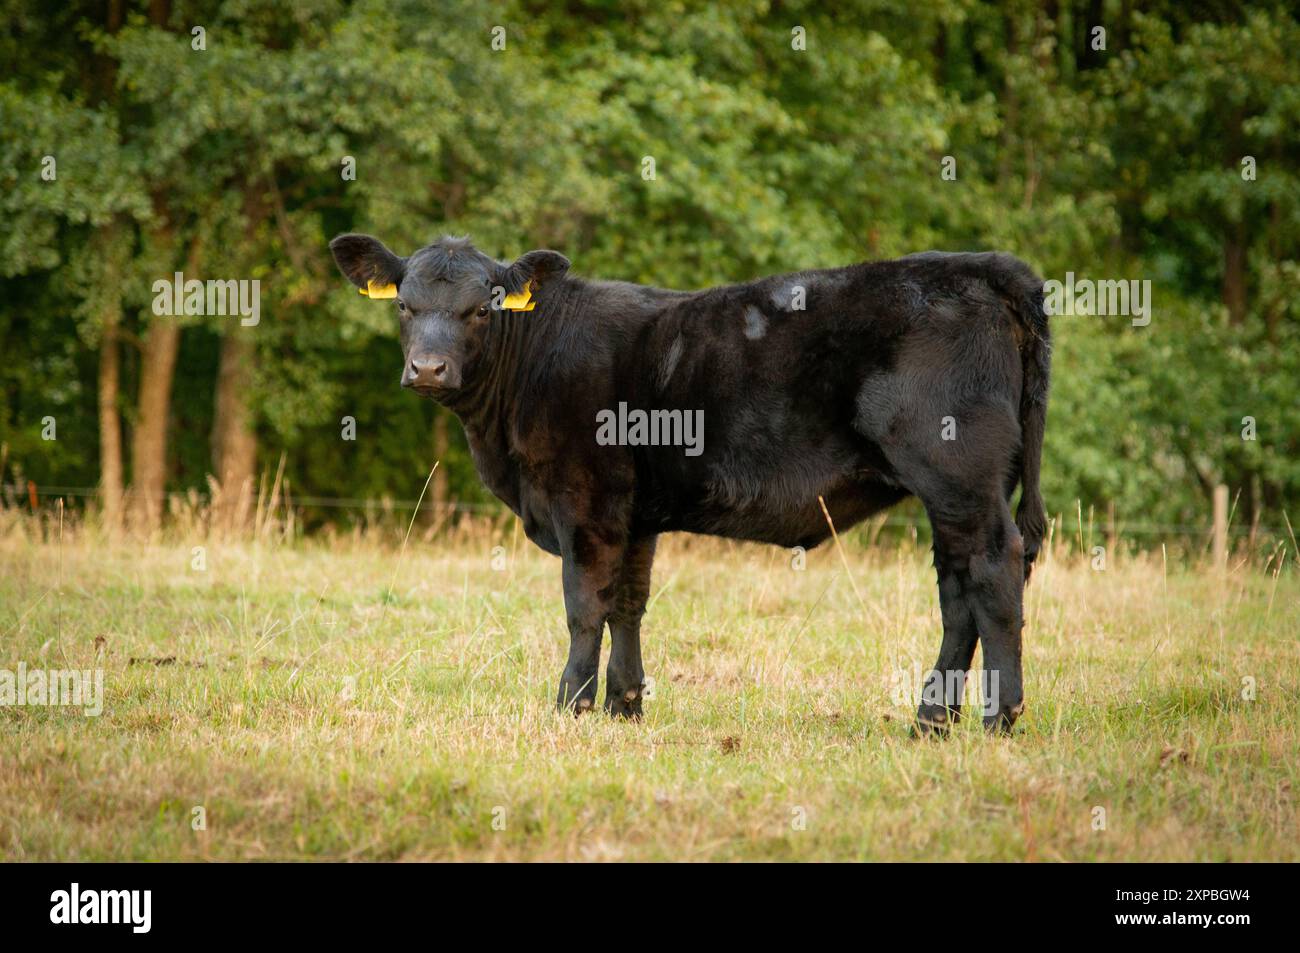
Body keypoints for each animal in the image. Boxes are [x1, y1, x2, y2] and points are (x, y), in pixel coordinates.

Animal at [330, 234, 1050, 734]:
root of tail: (985, 266)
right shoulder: (633, 514)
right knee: (957, 591)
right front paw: (625, 705)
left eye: (482, 309)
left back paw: (999, 718)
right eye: (405, 305)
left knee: (993, 572)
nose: (428, 368)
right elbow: (627, 603)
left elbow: (583, 604)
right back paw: (931, 720)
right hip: (950, 491)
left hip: (958, 473)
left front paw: (570, 704)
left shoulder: (585, 501)